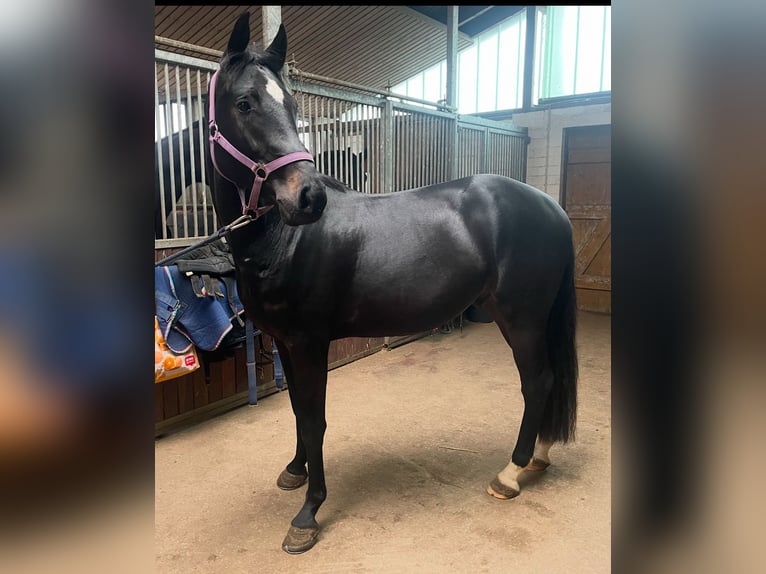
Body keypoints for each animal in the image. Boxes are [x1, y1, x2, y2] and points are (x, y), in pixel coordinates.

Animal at [207, 11, 580, 556]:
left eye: (292, 105)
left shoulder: (310, 343)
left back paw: (510, 474)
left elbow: (315, 418)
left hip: (522, 318)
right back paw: (539, 456)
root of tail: (552, 207)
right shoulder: (285, 344)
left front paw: (308, 514)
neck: (283, 238)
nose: (308, 197)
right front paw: (295, 472)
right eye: (244, 103)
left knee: (538, 381)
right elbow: (296, 410)